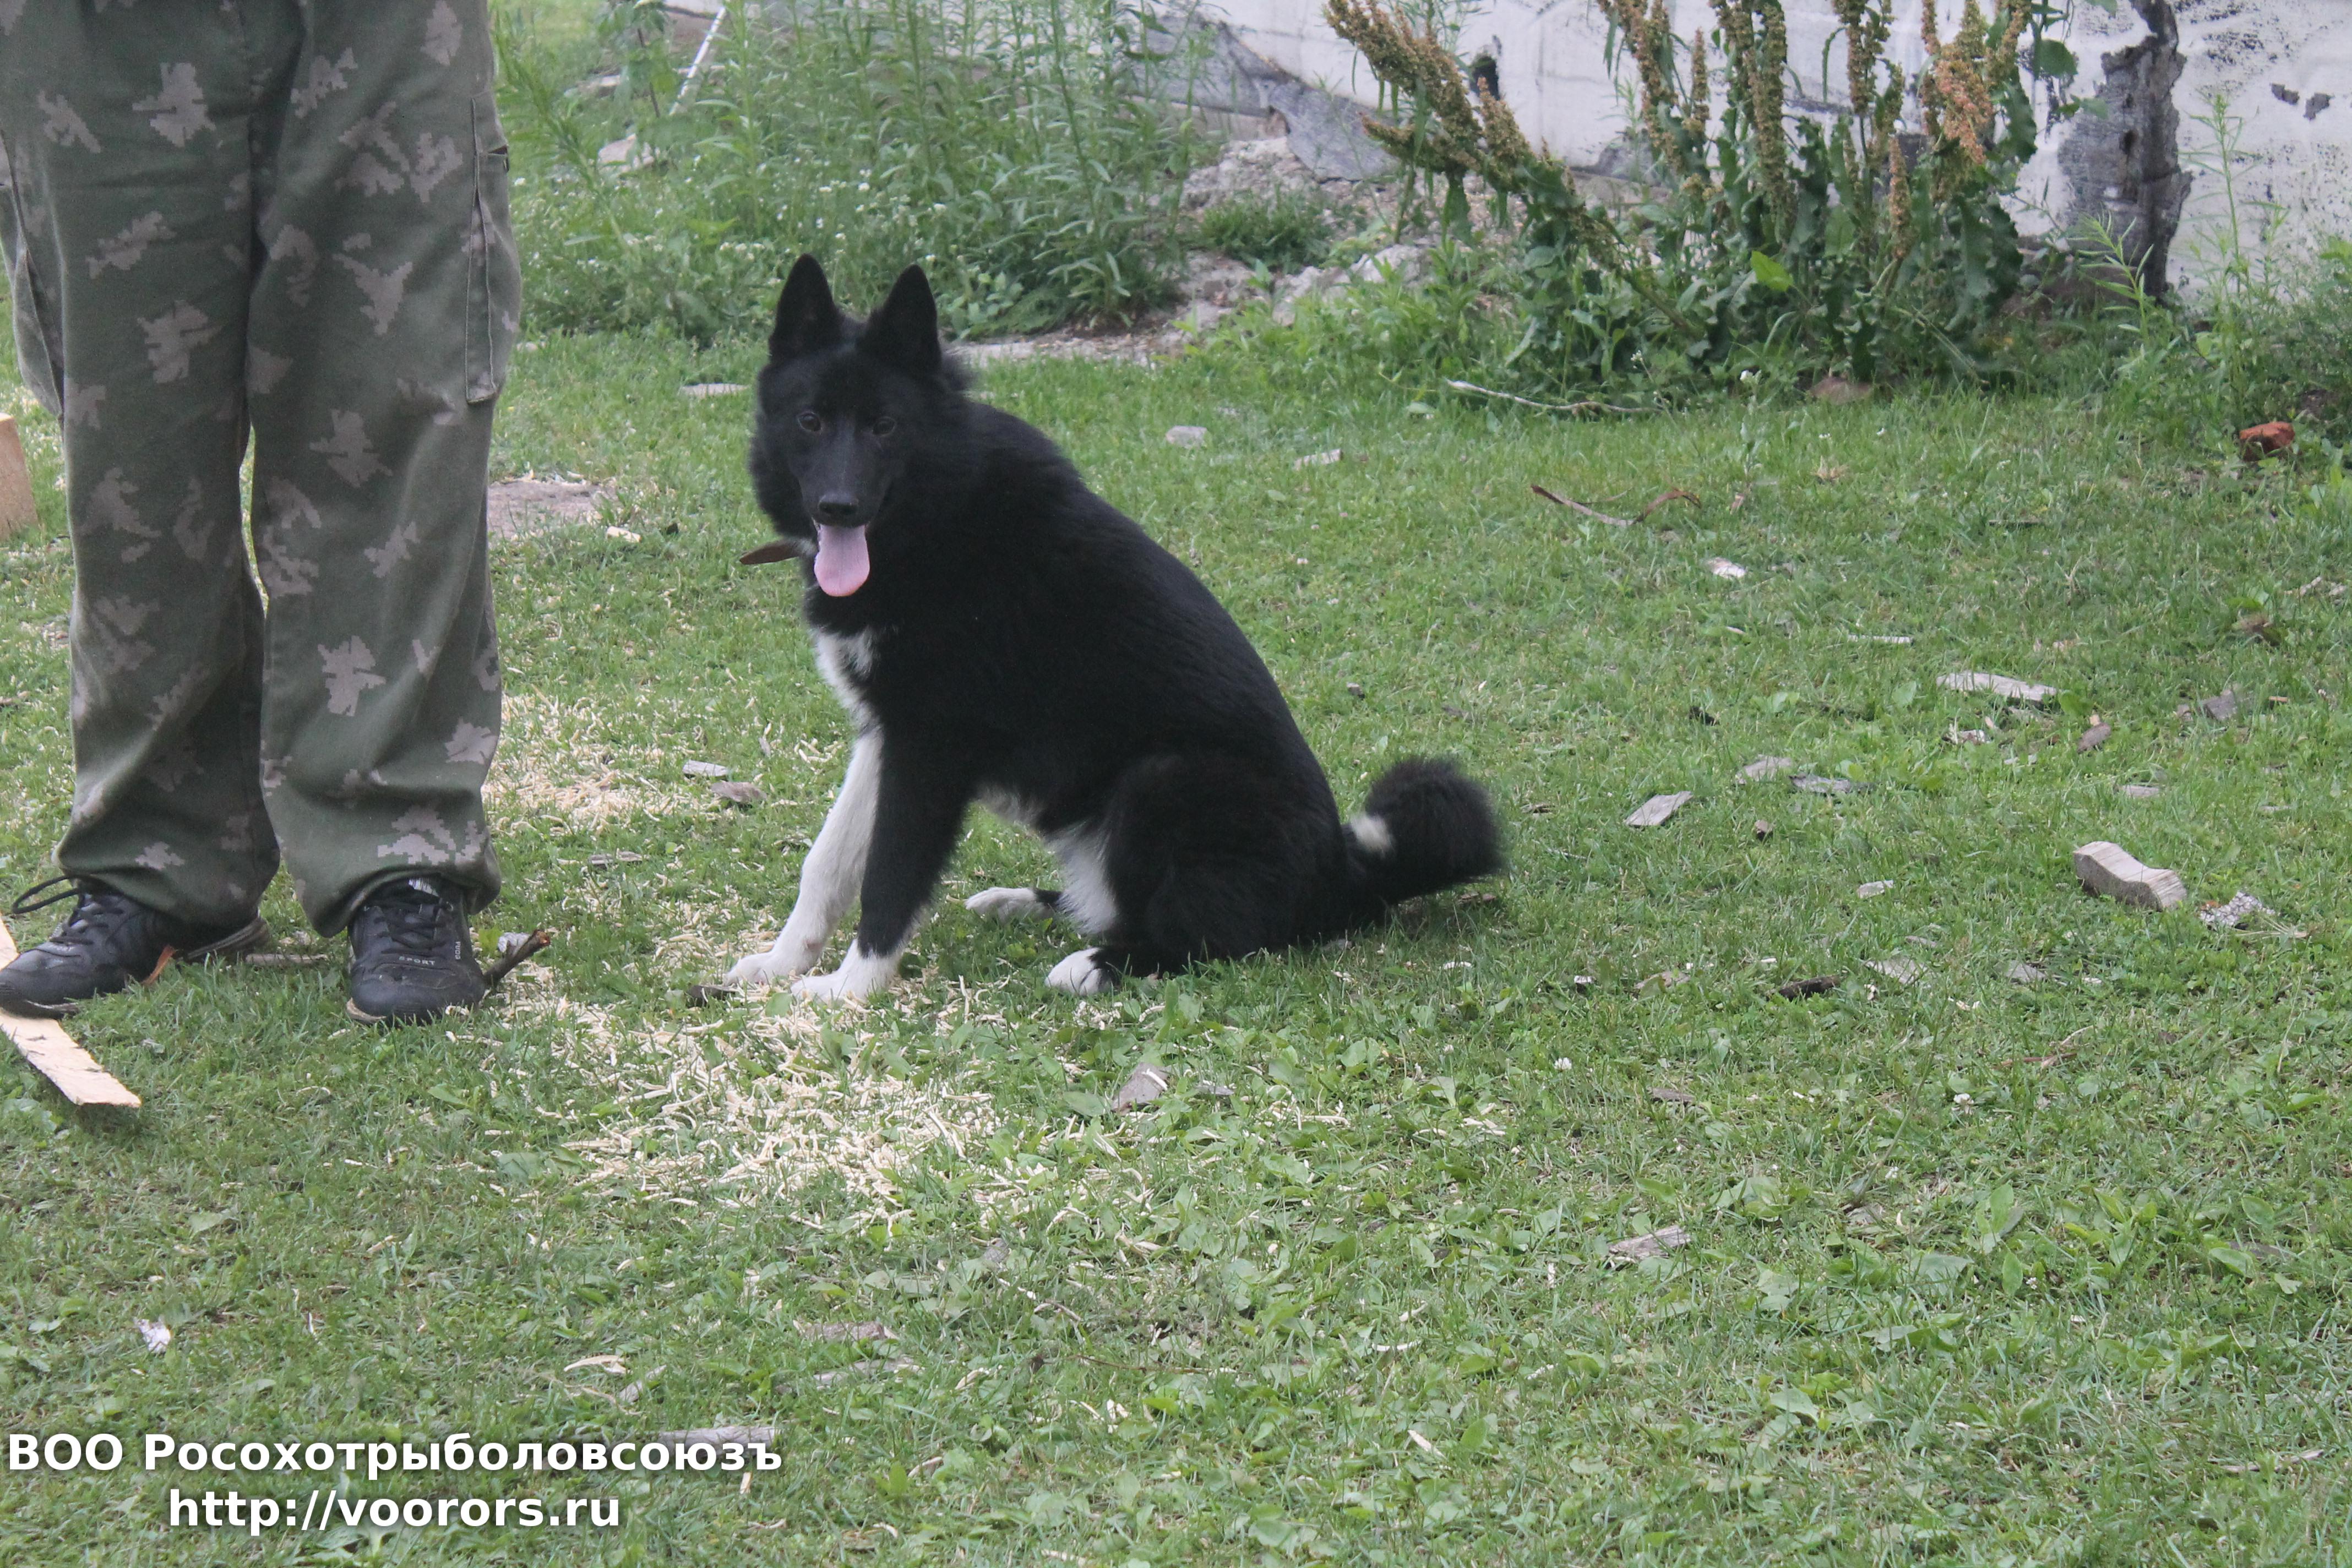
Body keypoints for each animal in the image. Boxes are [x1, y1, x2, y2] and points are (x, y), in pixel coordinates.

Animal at [724, 256, 1502, 1001]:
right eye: (811, 421)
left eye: (885, 427)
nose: (838, 507)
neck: (935, 516)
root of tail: (1341, 880)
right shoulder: (886, 734)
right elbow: (828, 860)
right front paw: (784, 960)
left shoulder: (930, 748)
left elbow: (890, 876)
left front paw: (849, 988)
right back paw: (1029, 903)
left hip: (1158, 780)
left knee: (1209, 935)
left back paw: (1095, 966)